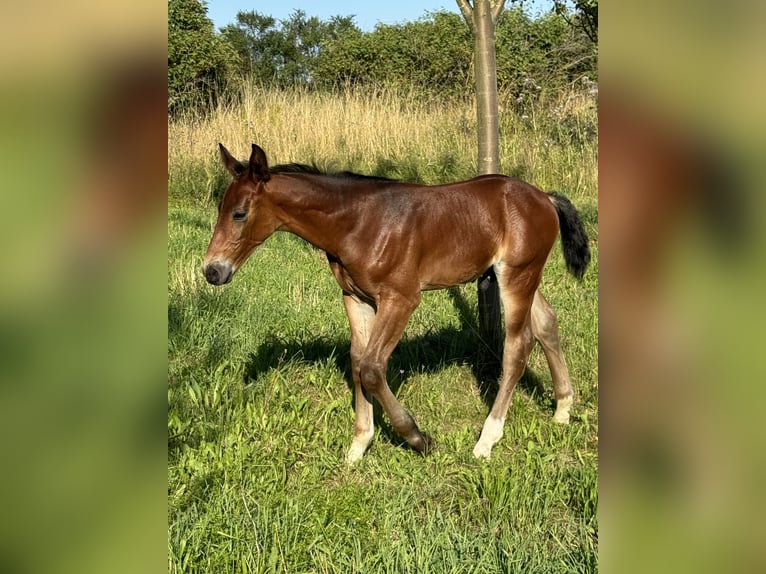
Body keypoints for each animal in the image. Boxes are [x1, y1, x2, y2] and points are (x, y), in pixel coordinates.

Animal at [204, 144, 592, 464]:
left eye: (239, 213)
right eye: (220, 208)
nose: (212, 270)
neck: (356, 223)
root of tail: (545, 197)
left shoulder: (401, 298)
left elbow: (373, 368)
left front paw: (418, 438)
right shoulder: (356, 298)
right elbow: (357, 361)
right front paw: (359, 445)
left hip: (516, 275)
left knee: (518, 344)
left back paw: (487, 439)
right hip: (523, 274)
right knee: (546, 323)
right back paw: (562, 409)